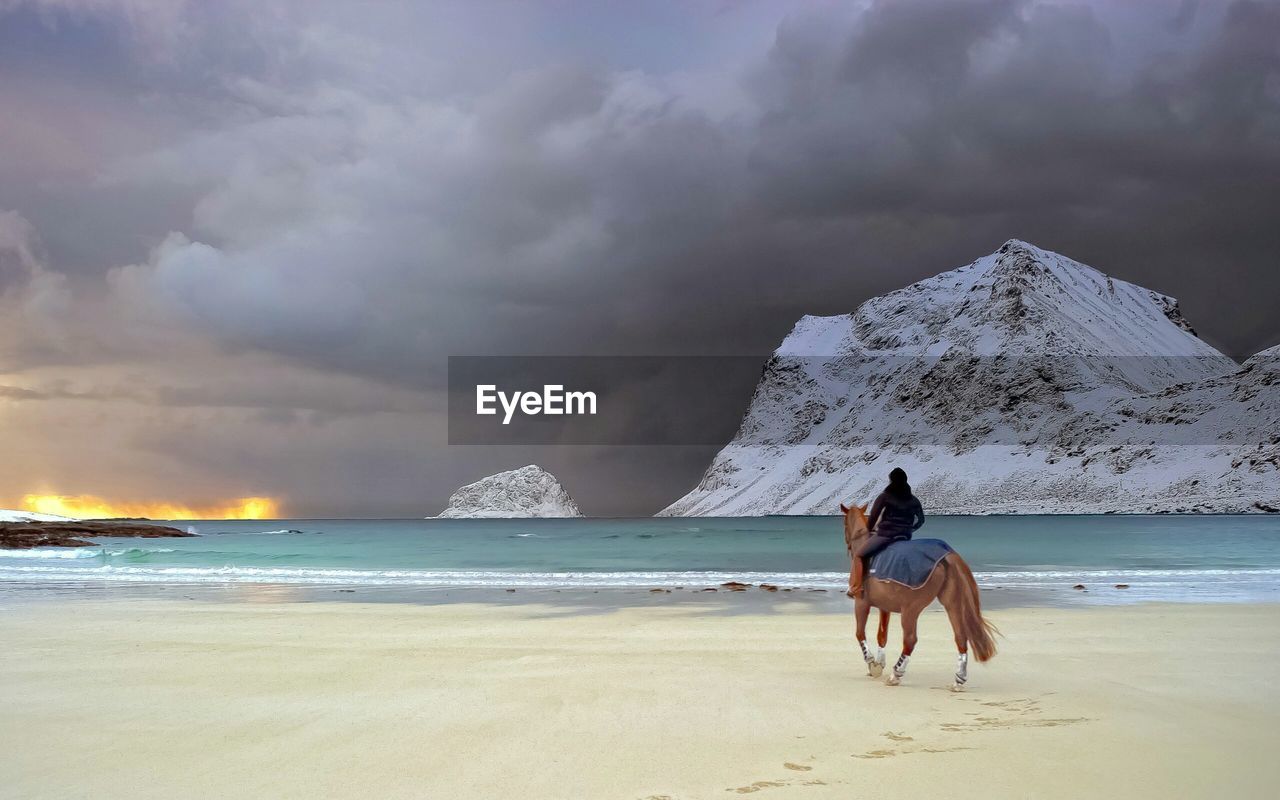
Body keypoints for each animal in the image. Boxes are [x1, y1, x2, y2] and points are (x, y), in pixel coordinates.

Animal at [839, 501, 998, 691]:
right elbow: (882, 636)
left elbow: (859, 633)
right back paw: (959, 679)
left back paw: (896, 675)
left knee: (910, 640)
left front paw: (872, 663)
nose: (848, 546)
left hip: (910, 609)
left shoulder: (861, 603)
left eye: (844, 524)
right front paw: (879, 663)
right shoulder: (885, 607)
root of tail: (947, 555)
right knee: (960, 636)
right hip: (952, 603)